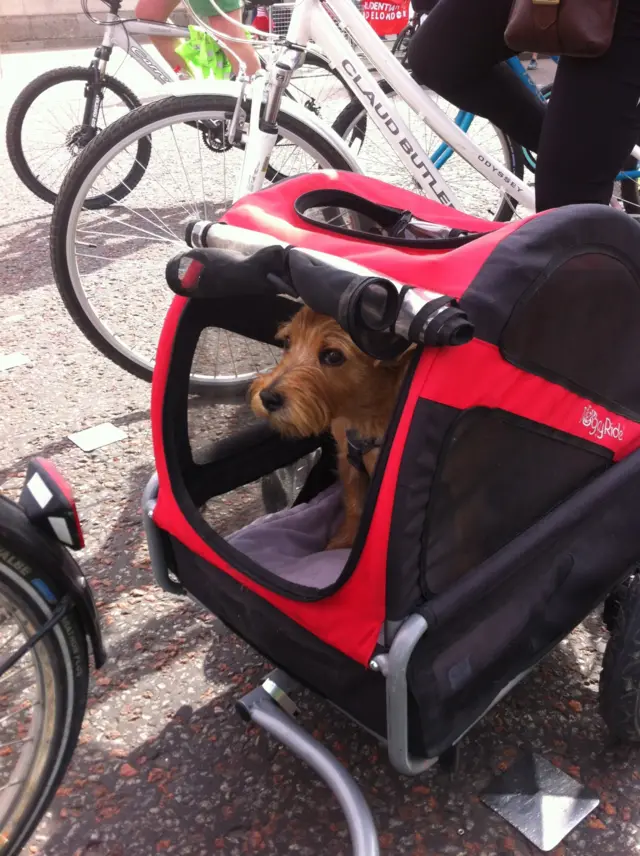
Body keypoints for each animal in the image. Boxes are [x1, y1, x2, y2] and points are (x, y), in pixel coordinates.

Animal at [250, 306, 410, 548]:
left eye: (333, 356)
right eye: (287, 341)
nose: (267, 397)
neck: (363, 416)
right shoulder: (347, 459)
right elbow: (354, 504)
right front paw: (345, 540)